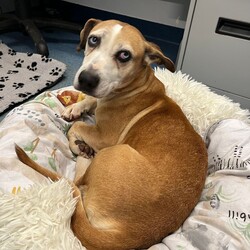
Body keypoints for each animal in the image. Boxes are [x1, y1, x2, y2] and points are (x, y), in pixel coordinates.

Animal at [15, 18, 207, 249]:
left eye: (124, 55)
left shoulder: (103, 137)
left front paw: (76, 140)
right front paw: (76, 108)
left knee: (78, 184)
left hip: (112, 153)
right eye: (93, 40)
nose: (87, 79)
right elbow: (90, 102)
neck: (136, 86)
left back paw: (83, 153)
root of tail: (129, 235)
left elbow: (77, 127)